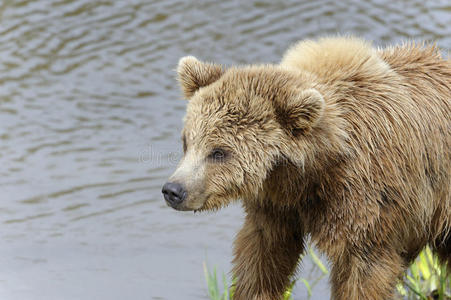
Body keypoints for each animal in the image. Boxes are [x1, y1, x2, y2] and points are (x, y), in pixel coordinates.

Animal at [161, 37, 450, 300]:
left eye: (219, 152)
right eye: (187, 141)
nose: (174, 190)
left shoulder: (369, 202)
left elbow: (362, 273)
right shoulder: (277, 207)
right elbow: (262, 259)